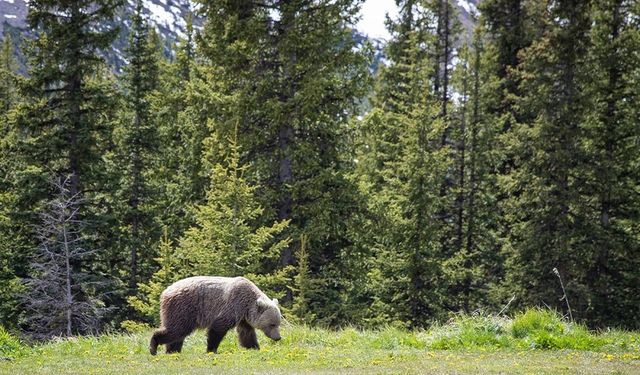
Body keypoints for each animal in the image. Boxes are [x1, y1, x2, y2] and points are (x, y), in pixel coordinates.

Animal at [150, 276, 282, 356]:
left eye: (278, 323)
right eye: (272, 324)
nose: (278, 337)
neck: (247, 304)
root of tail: (165, 292)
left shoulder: (244, 317)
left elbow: (246, 333)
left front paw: (254, 347)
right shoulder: (232, 305)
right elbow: (218, 328)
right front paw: (211, 350)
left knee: (177, 334)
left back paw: (172, 351)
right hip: (183, 308)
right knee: (177, 330)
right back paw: (154, 346)